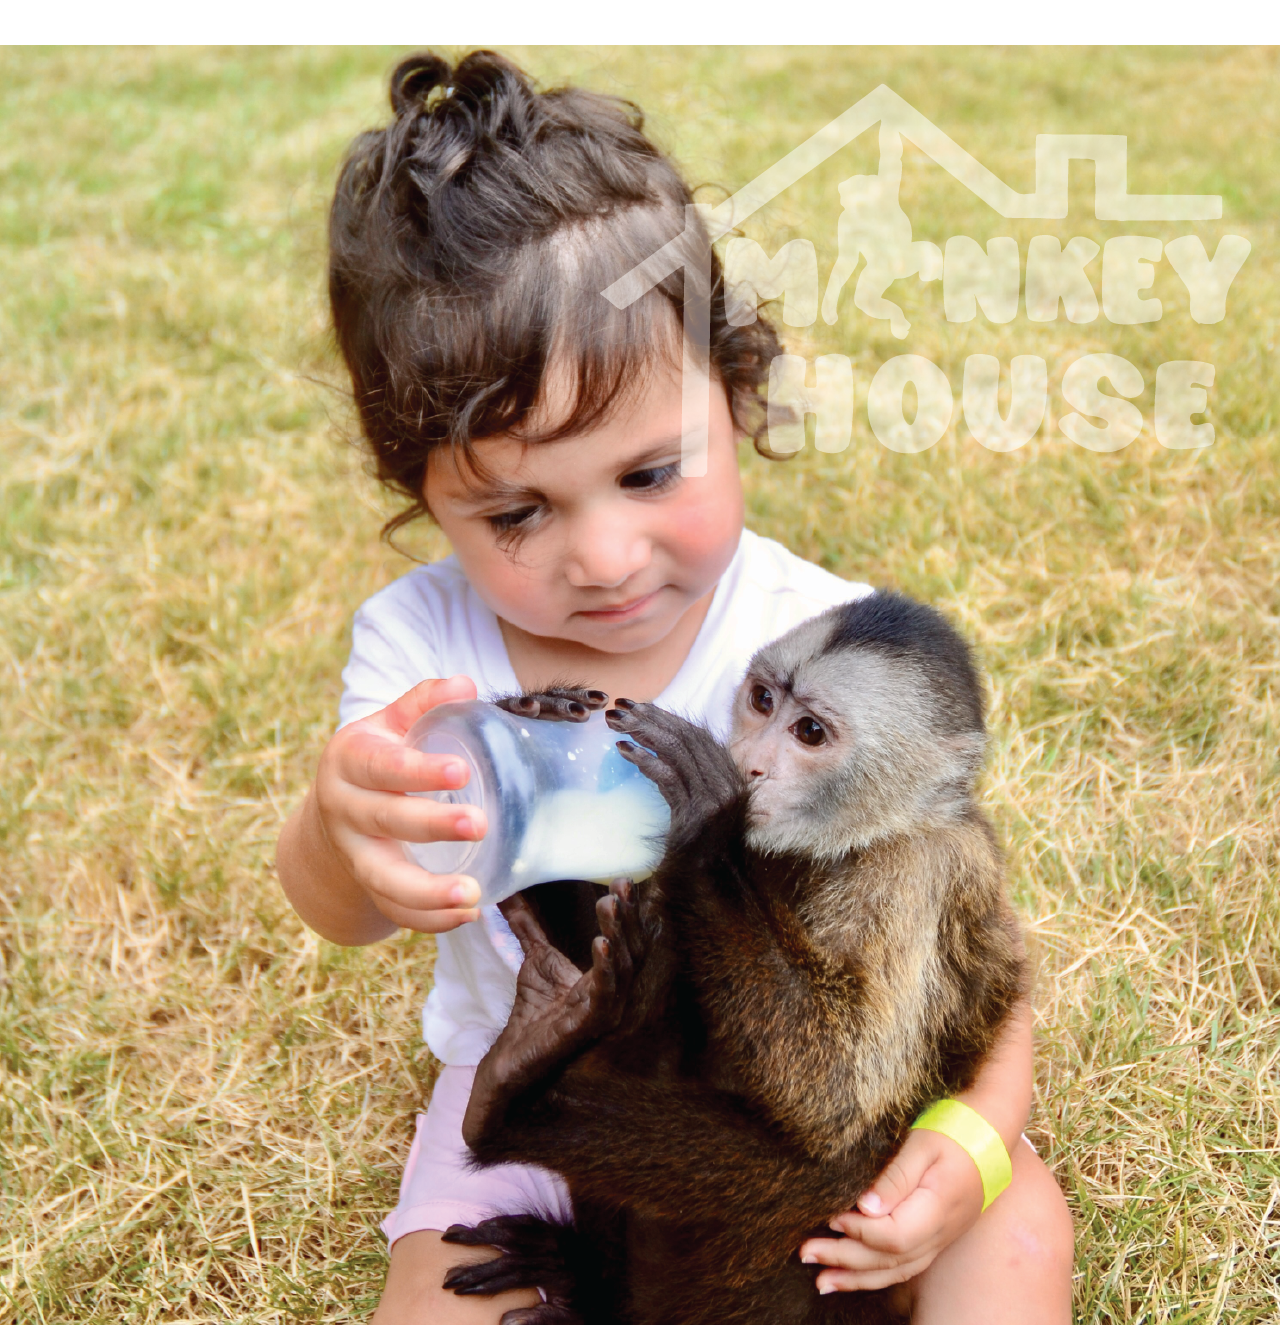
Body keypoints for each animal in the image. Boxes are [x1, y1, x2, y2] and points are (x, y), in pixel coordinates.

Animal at [439, 592, 1027, 1325]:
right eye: (762, 700)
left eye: (809, 732)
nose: (746, 761)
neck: (849, 840)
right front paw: (543, 720)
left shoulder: (914, 872)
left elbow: (835, 1093)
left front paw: (710, 825)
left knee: (825, 1163)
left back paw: (509, 1107)